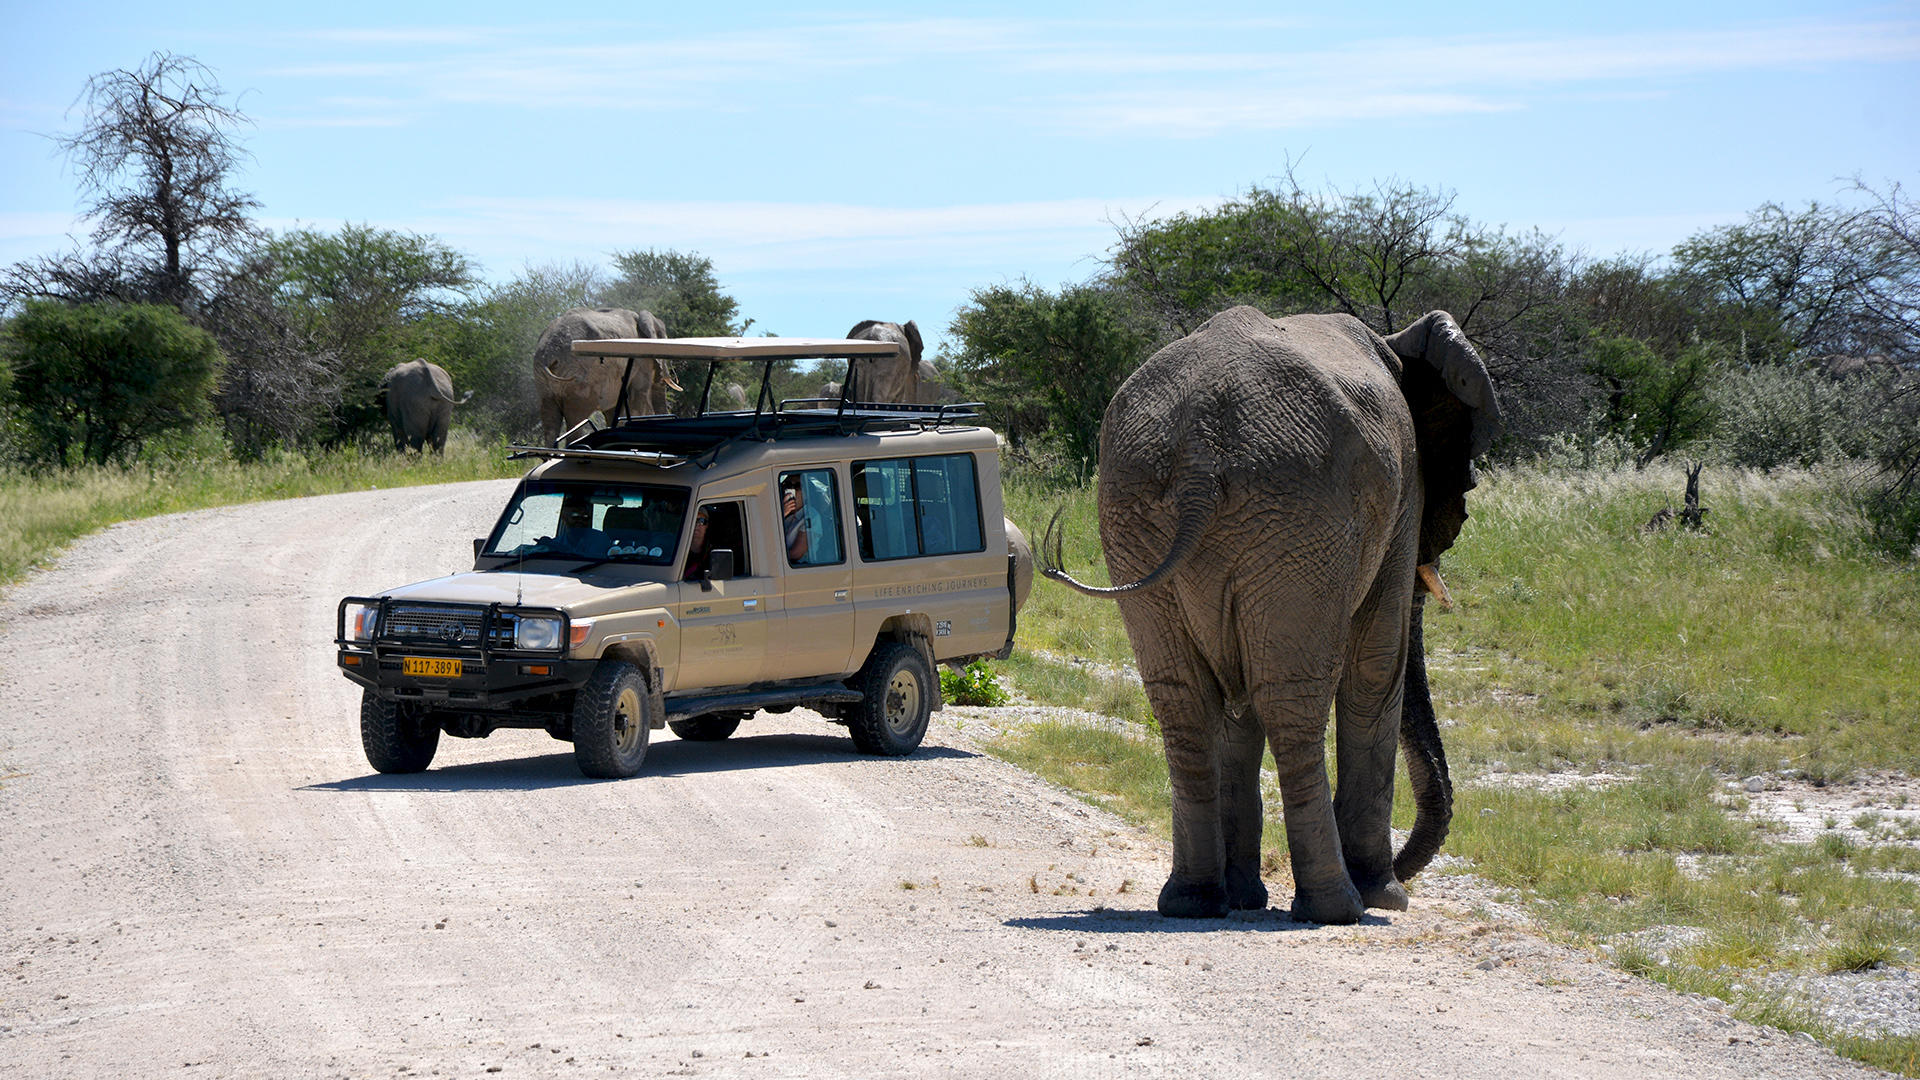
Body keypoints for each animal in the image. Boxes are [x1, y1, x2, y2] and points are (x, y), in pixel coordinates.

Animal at [537, 305, 687, 443]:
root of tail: (549, 354)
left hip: (545, 384)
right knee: (576, 420)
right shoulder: (640, 363)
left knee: (550, 424)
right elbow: (637, 399)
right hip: (580, 381)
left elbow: (613, 410)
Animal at [1036, 307, 1497, 922]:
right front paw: (1387, 896)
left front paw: (1244, 896)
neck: (1397, 342)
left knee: (1183, 697)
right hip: (1300, 513)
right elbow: (1377, 666)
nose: (1404, 871)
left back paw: (1195, 902)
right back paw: (1338, 906)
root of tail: (1199, 448)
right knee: (1291, 699)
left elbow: (1237, 693)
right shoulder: (1403, 497)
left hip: (1139, 511)